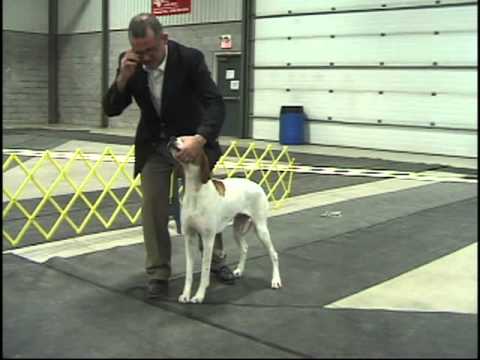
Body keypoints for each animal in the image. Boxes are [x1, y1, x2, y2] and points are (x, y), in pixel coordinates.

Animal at [168, 138, 282, 304]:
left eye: (186, 139)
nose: (171, 139)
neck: (195, 192)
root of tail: (257, 185)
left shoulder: (208, 239)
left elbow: (205, 271)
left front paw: (199, 295)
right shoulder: (189, 237)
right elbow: (189, 272)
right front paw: (185, 294)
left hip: (261, 229)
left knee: (273, 254)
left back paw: (276, 280)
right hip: (238, 229)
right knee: (245, 247)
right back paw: (239, 270)